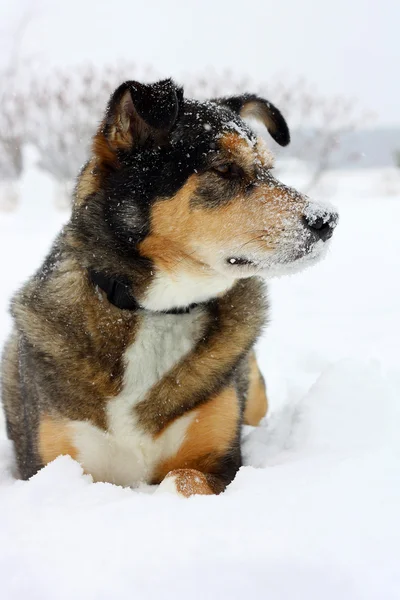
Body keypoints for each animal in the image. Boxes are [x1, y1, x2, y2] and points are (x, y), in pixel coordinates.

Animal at [0, 78, 338, 496]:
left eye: (269, 169)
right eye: (224, 168)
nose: (327, 220)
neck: (158, 310)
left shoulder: (218, 462)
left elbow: (181, 479)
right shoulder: (51, 467)